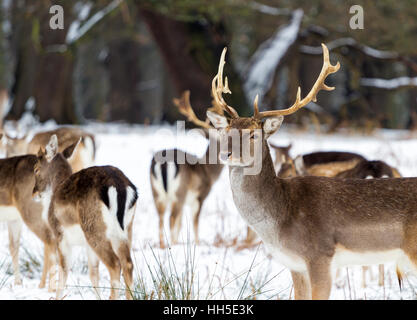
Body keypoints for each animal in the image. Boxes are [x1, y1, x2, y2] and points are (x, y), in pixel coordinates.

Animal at [33, 135, 136, 300]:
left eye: (36, 168)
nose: (34, 193)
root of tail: (119, 186)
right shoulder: (86, 246)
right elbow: (93, 275)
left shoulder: (59, 235)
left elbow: (63, 270)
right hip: (126, 230)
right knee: (128, 263)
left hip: (94, 230)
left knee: (115, 264)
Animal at [150, 91, 224, 249]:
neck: (209, 170)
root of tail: (163, 163)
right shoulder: (199, 196)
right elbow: (195, 223)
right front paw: (197, 243)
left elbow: (181, 224)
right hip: (179, 191)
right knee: (171, 218)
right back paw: (171, 245)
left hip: (157, 193)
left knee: (160, 219)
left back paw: (163, 245)